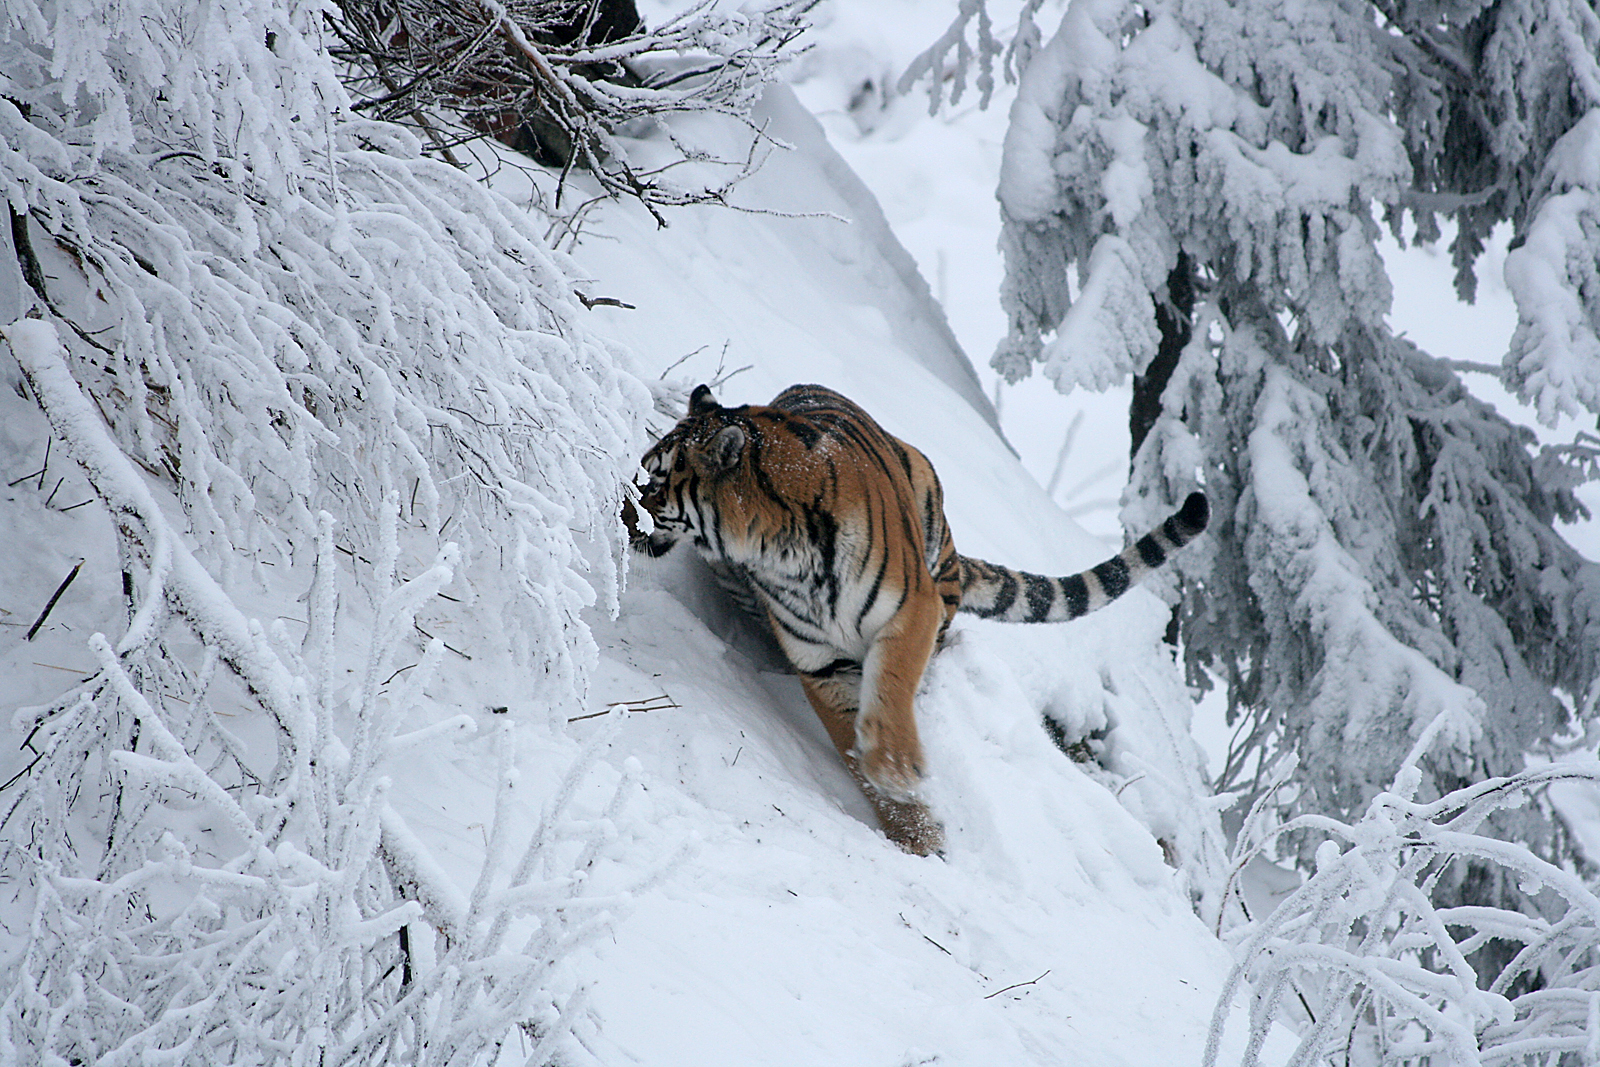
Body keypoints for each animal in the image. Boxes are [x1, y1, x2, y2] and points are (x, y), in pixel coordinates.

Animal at [628, 383, 1209, 856]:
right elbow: (850, 744)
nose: (623, 506)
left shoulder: (909, 612)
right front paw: (914, 830)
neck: (777, 552)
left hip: (935, 555)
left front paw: (896, 768)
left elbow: (890, 689)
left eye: (655, 479)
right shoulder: (821, 663)